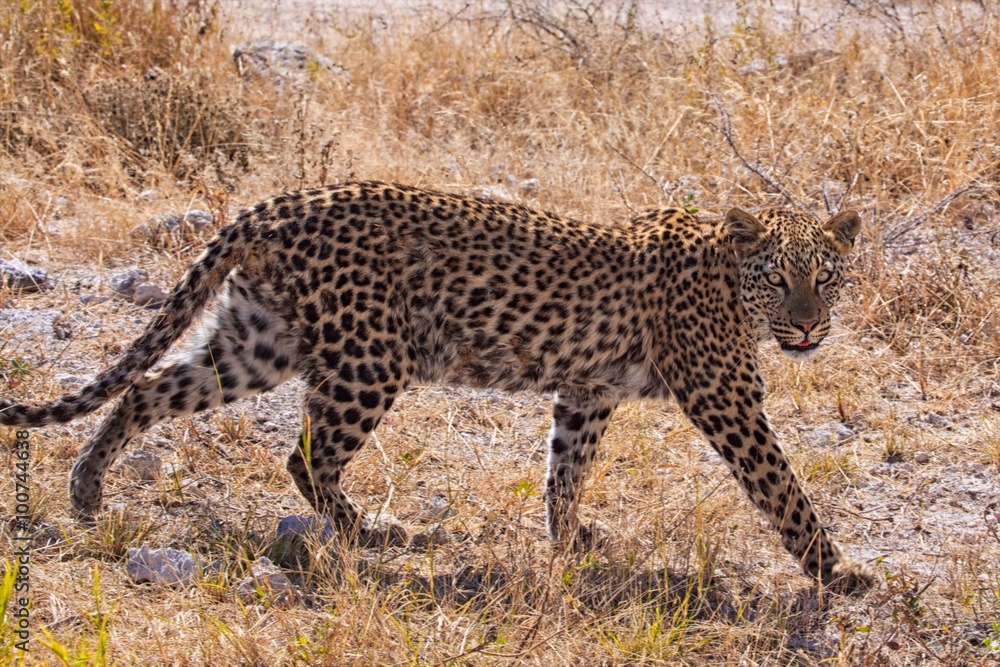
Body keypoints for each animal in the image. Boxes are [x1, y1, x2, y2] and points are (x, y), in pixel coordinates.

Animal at [0, 180, 872, 592]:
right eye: (779, 280)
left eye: (827, 280)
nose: (806, 330)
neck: (729, 282)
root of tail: (276, 202)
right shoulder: (728, 401)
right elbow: (786, 492)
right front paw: (839, 572)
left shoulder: (586, 393)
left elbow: (565, 470)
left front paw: (569, 542)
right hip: (368, 358)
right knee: (306, 455)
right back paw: (372, 532)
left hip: (258, 342)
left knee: (147, 389)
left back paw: (87, 488)